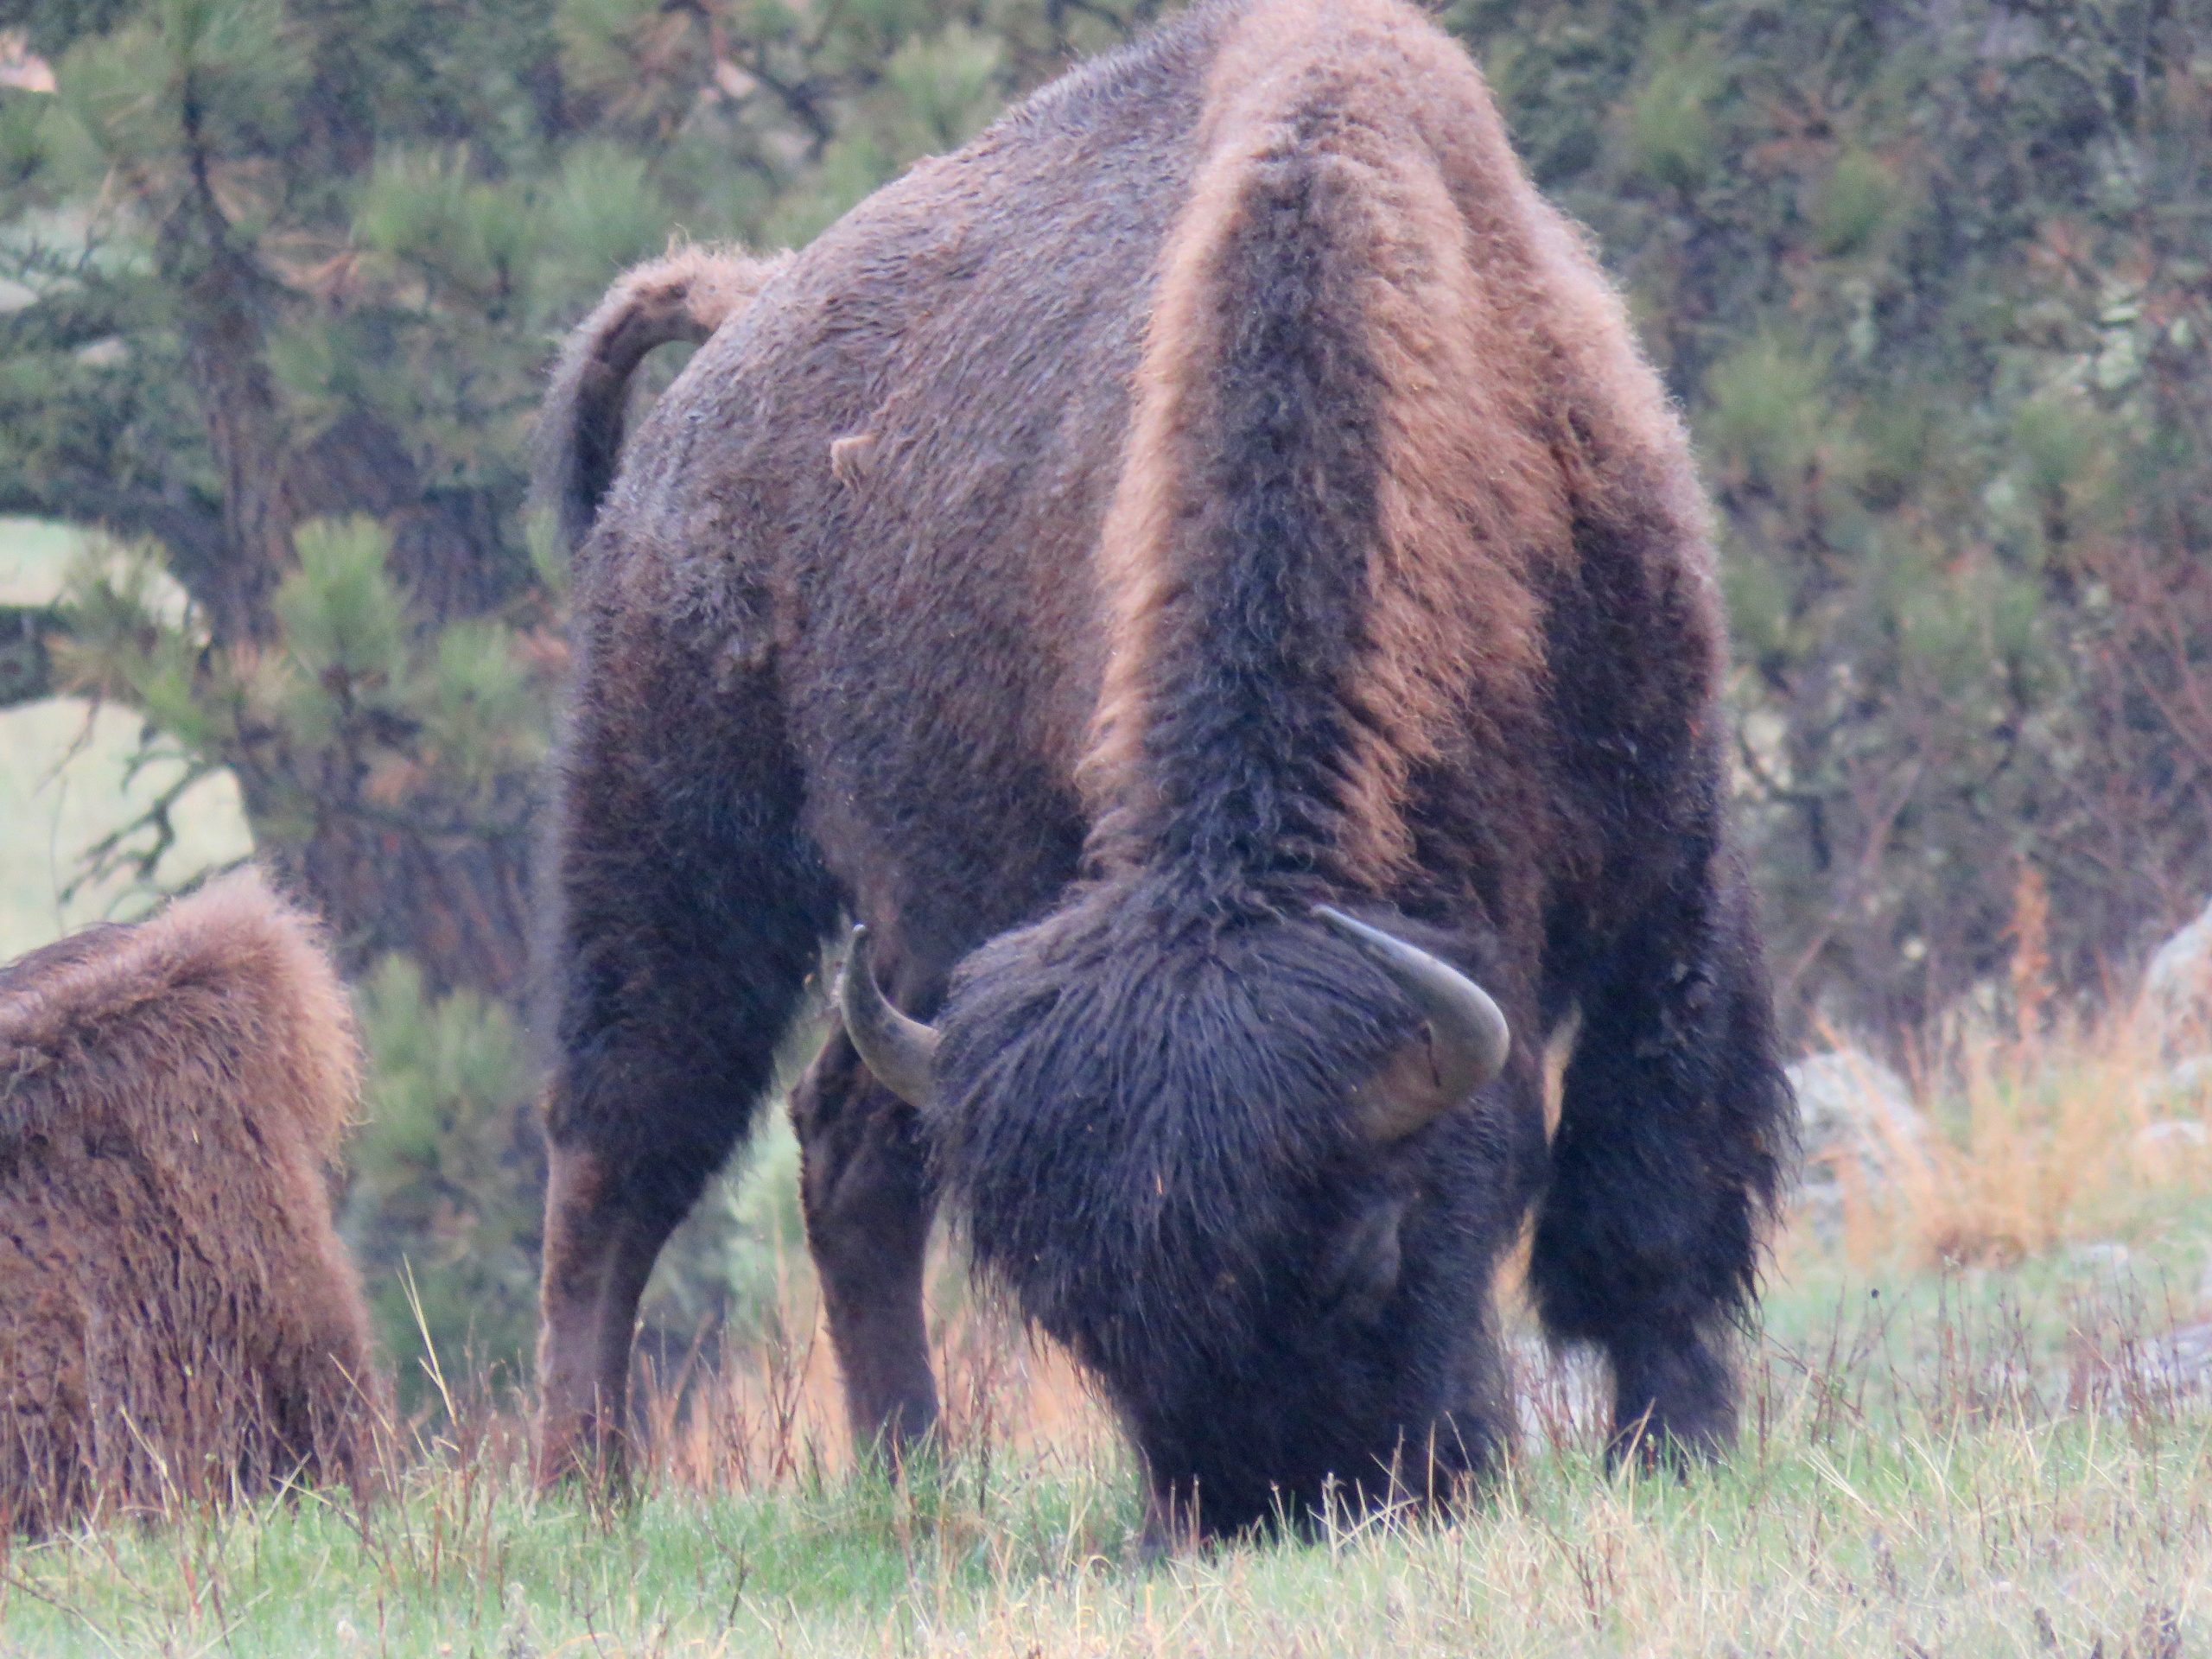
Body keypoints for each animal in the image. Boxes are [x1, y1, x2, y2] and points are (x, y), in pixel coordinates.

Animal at [533, 0, 1793, 1537]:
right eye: (1084, 1321)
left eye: (1372, 1244)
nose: (1285, 1509)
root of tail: (734, 332)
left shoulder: (1667, 855)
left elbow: (1653, 1186)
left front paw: (1678, 1444)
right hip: (678, 834)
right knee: (623, 1145)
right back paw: (582, 1487)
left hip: (909, 942)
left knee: (842, 1144)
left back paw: (909, 1472)